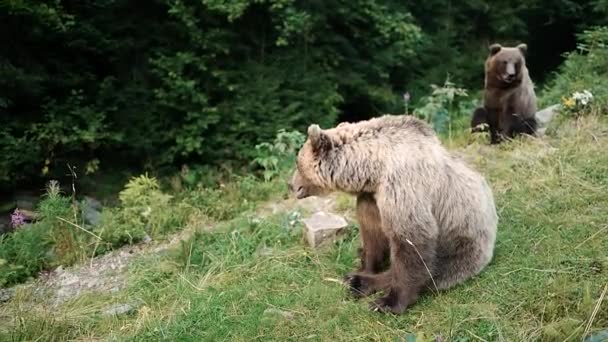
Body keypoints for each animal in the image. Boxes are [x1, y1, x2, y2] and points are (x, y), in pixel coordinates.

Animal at [290, 116, 498, 314]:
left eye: (297, 163)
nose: (290, 185)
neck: (375, 169)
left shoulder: (403, 187)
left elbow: (411, 242)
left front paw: (388, 302)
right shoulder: (370, 198)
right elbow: (371, 233)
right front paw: (365, 267)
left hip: (463, 243)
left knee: (438, 270)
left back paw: (359, 283)